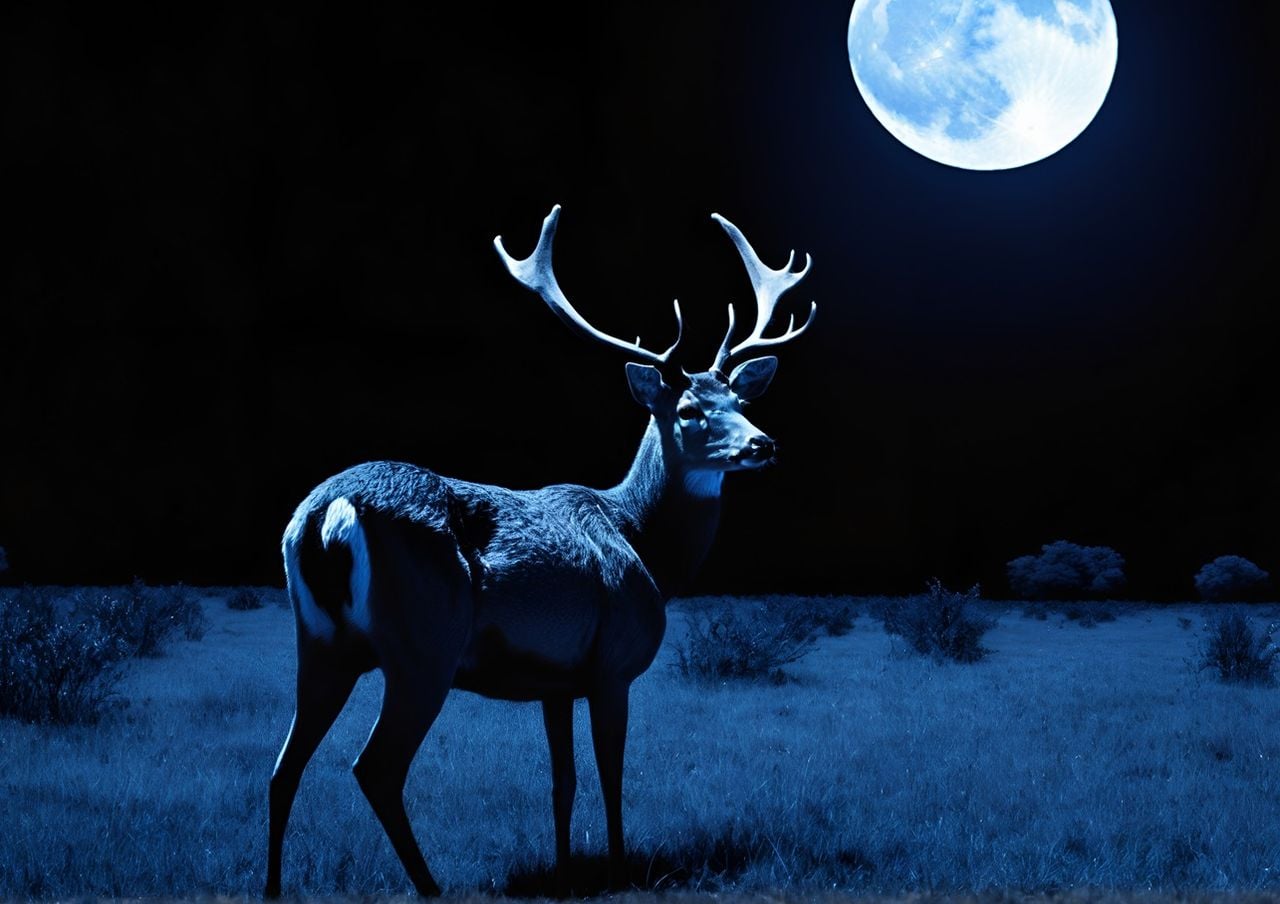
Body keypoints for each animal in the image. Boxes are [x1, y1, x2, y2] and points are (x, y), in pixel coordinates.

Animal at [265, 204, 816, 898]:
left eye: (740, 401)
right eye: (689, 409)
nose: (762, 444)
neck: (643, 542)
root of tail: (328, 512)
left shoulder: (556, 680)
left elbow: (562, 782)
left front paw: (563, 870)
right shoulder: (612, 663)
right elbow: (610, 774)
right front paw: (617, 868)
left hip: (319, 642)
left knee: (282, 769)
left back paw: (272, 887)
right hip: (423, 645)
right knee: (376, 767)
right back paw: (431, 886)